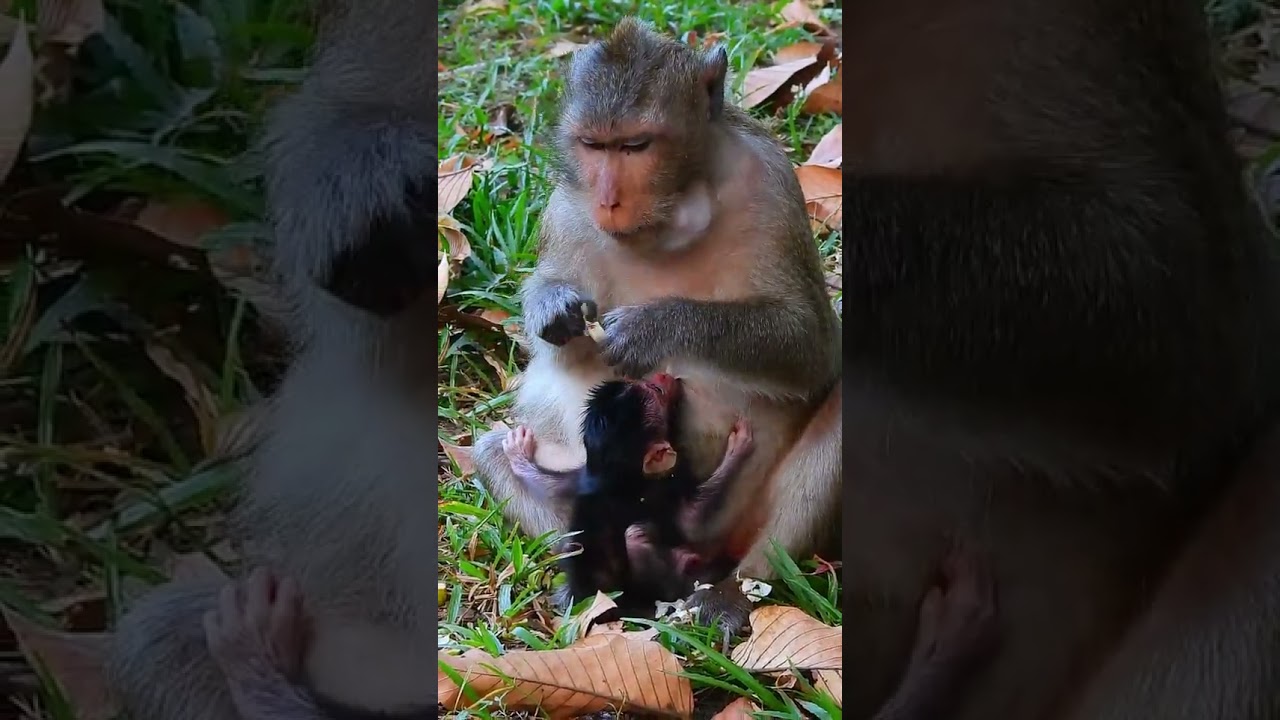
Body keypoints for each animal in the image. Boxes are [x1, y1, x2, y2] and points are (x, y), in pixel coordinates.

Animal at [500, 373, 755, 612]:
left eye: (639, 382)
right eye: (656, 391)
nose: (663, 375)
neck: (611, 476)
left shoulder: (582, 480)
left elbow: (550, 485)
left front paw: (518, 453)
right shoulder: (662, 489)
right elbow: (691, 521)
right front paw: (738, 447)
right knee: (636, 536)